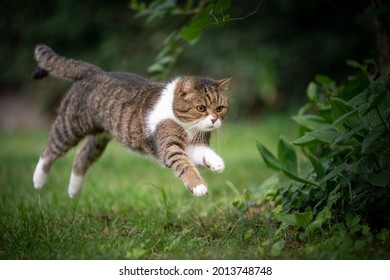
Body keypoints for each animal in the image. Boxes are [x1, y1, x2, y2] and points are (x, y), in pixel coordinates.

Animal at [32, 44, 232, 197]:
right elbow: (183, 164)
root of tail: (94, 71)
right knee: (50, 148)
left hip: (99, 138)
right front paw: (198, 185)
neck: (188, 127)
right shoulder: (168, 147)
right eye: (201, 108)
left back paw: (73, 191)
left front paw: (216, 163)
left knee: (81, 156)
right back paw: (38, 180)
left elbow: (204, 153)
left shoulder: (194, 146)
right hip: (70, 126)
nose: (214, 120)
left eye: (220, 109)